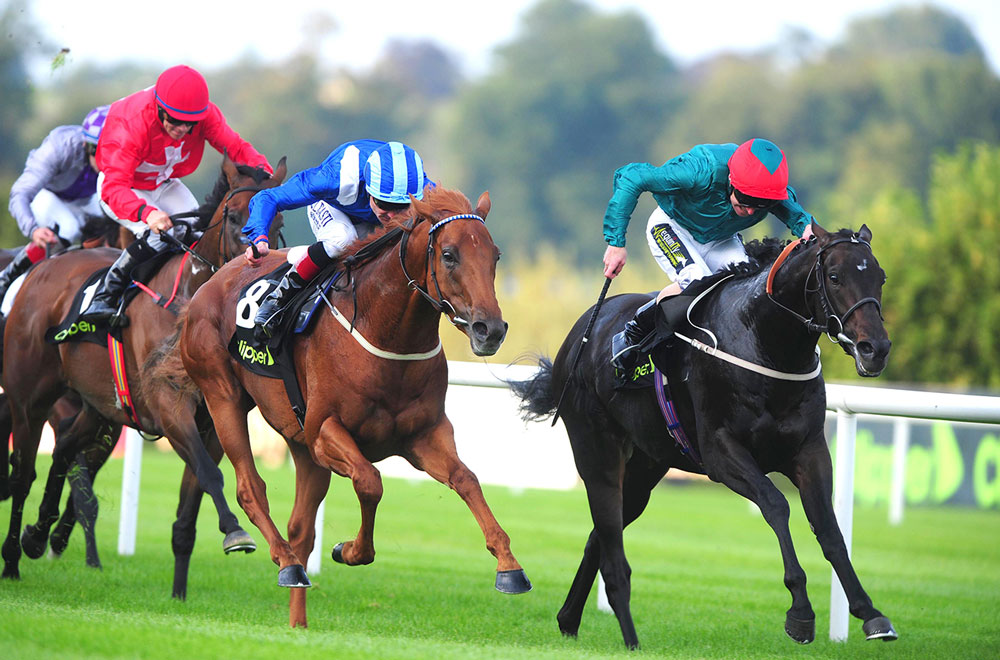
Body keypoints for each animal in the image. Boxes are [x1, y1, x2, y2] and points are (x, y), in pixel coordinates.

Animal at [0, 156, 290, 600]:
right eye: (236, 218)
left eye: (279, 224)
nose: (257, 273)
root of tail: (45, 266)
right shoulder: (169, 407)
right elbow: (210, 474)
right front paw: (235, 531)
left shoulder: (214, 420)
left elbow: (190, 508)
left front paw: (179, 594)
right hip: (29, 398)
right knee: (23, 473)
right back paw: (13, 557)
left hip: (98, 407)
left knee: (64, 448)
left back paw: (38, 535)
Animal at [178, 186, 532, 628]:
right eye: (449, 254)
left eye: (495, 255)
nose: (491, 329)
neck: (388, 334)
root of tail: (214, 278)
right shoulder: (327, 431)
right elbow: (370, 481)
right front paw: (349, 550)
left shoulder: (424, 434)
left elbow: (467, 480)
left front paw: (510, 567)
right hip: (223, 395)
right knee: (250, 488)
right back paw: (286, 563)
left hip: (301, 444)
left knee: (301, 528)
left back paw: (298, 617)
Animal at [512, 224, 896, 648]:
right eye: (835, 276)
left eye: (879, 277)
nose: (875, 348)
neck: (763, 340)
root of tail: (581, 331)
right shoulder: (721, 453)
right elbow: (776, 505)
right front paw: (800, 611)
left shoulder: (809, 450)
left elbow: (828, 527)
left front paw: (870, 612)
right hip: (594, 445)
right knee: (608, 535)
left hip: (647, 465)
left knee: (601, 534)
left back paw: (569, 619)